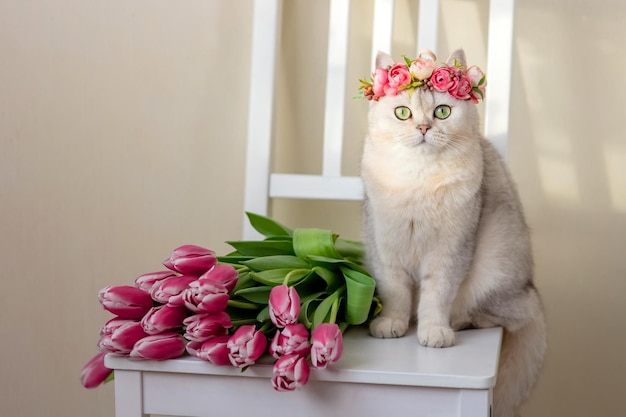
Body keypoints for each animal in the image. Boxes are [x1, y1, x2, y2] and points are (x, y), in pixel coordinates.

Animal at [360, 49, 544, 416]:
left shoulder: (450, 253)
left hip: (495, 271)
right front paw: (392, 324)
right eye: (403, 113)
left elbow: (435, 297)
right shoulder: (386, 249)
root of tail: (531, 291)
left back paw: (457, 322)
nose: (423, 127)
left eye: (442, 111)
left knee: (505, 318)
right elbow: (395, 293)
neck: (418, 180)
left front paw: (433, 331)